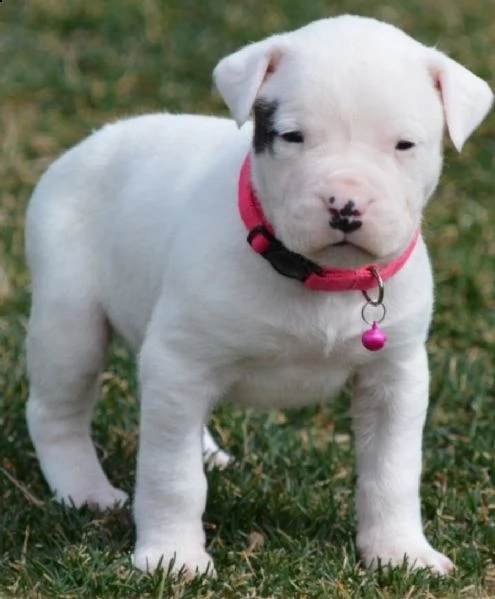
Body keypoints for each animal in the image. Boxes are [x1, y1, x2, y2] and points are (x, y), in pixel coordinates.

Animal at [26, 14, 492, 576]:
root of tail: (92, 141)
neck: (318, 277)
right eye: (293, 137)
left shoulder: (395, 376)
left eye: (404, 145)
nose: (346, 205)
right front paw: (173, 558)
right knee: (57, 411)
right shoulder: (179, 359)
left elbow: (393, 471)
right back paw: (85, 490)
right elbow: (172, 475)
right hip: (69, 320)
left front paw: (400, 552)